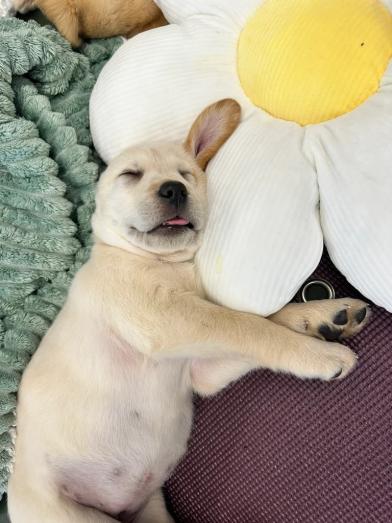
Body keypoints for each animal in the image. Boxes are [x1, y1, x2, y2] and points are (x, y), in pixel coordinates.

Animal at [7, 100, 370, 520]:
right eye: (130, 175)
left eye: (187, 175)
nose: (174, 189)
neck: (163, 264)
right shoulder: (168, 322)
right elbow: (250, 327)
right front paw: (320, 353)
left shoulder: (201, 368)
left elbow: (262, 320)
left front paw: (324, 316)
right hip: (70, 513)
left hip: (151, 511)